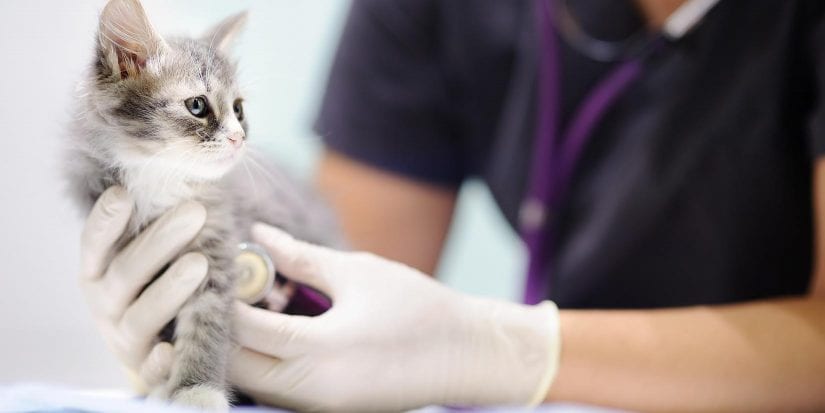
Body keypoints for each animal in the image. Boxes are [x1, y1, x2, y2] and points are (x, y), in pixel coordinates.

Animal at [64, 0, 342, 408]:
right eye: (197, 105)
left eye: (239, 109)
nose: (239, 137)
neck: (161, 178)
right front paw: (165, 383)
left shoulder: (217, 245)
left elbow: (204, 327)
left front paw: (196, 391)